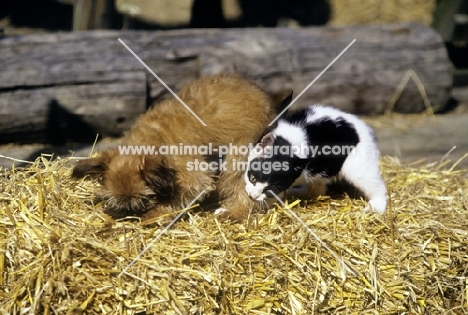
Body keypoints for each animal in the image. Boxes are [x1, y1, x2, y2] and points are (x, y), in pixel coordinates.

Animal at [72, 74, 288, 222]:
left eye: (145, 199)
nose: (129, 213)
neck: (157, 137)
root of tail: (269, 101)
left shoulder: (194, 178)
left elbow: (176, 197)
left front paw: (155, 214)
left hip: (237, 155)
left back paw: (234, 212)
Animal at [245, 105, 388, 214]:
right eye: (253, 178)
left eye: (270, 190)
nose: (252, 196)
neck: (289, 143)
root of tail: (365, 128)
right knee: (318, 190)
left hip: (359, 165)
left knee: (373, 184)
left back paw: (377, 205)